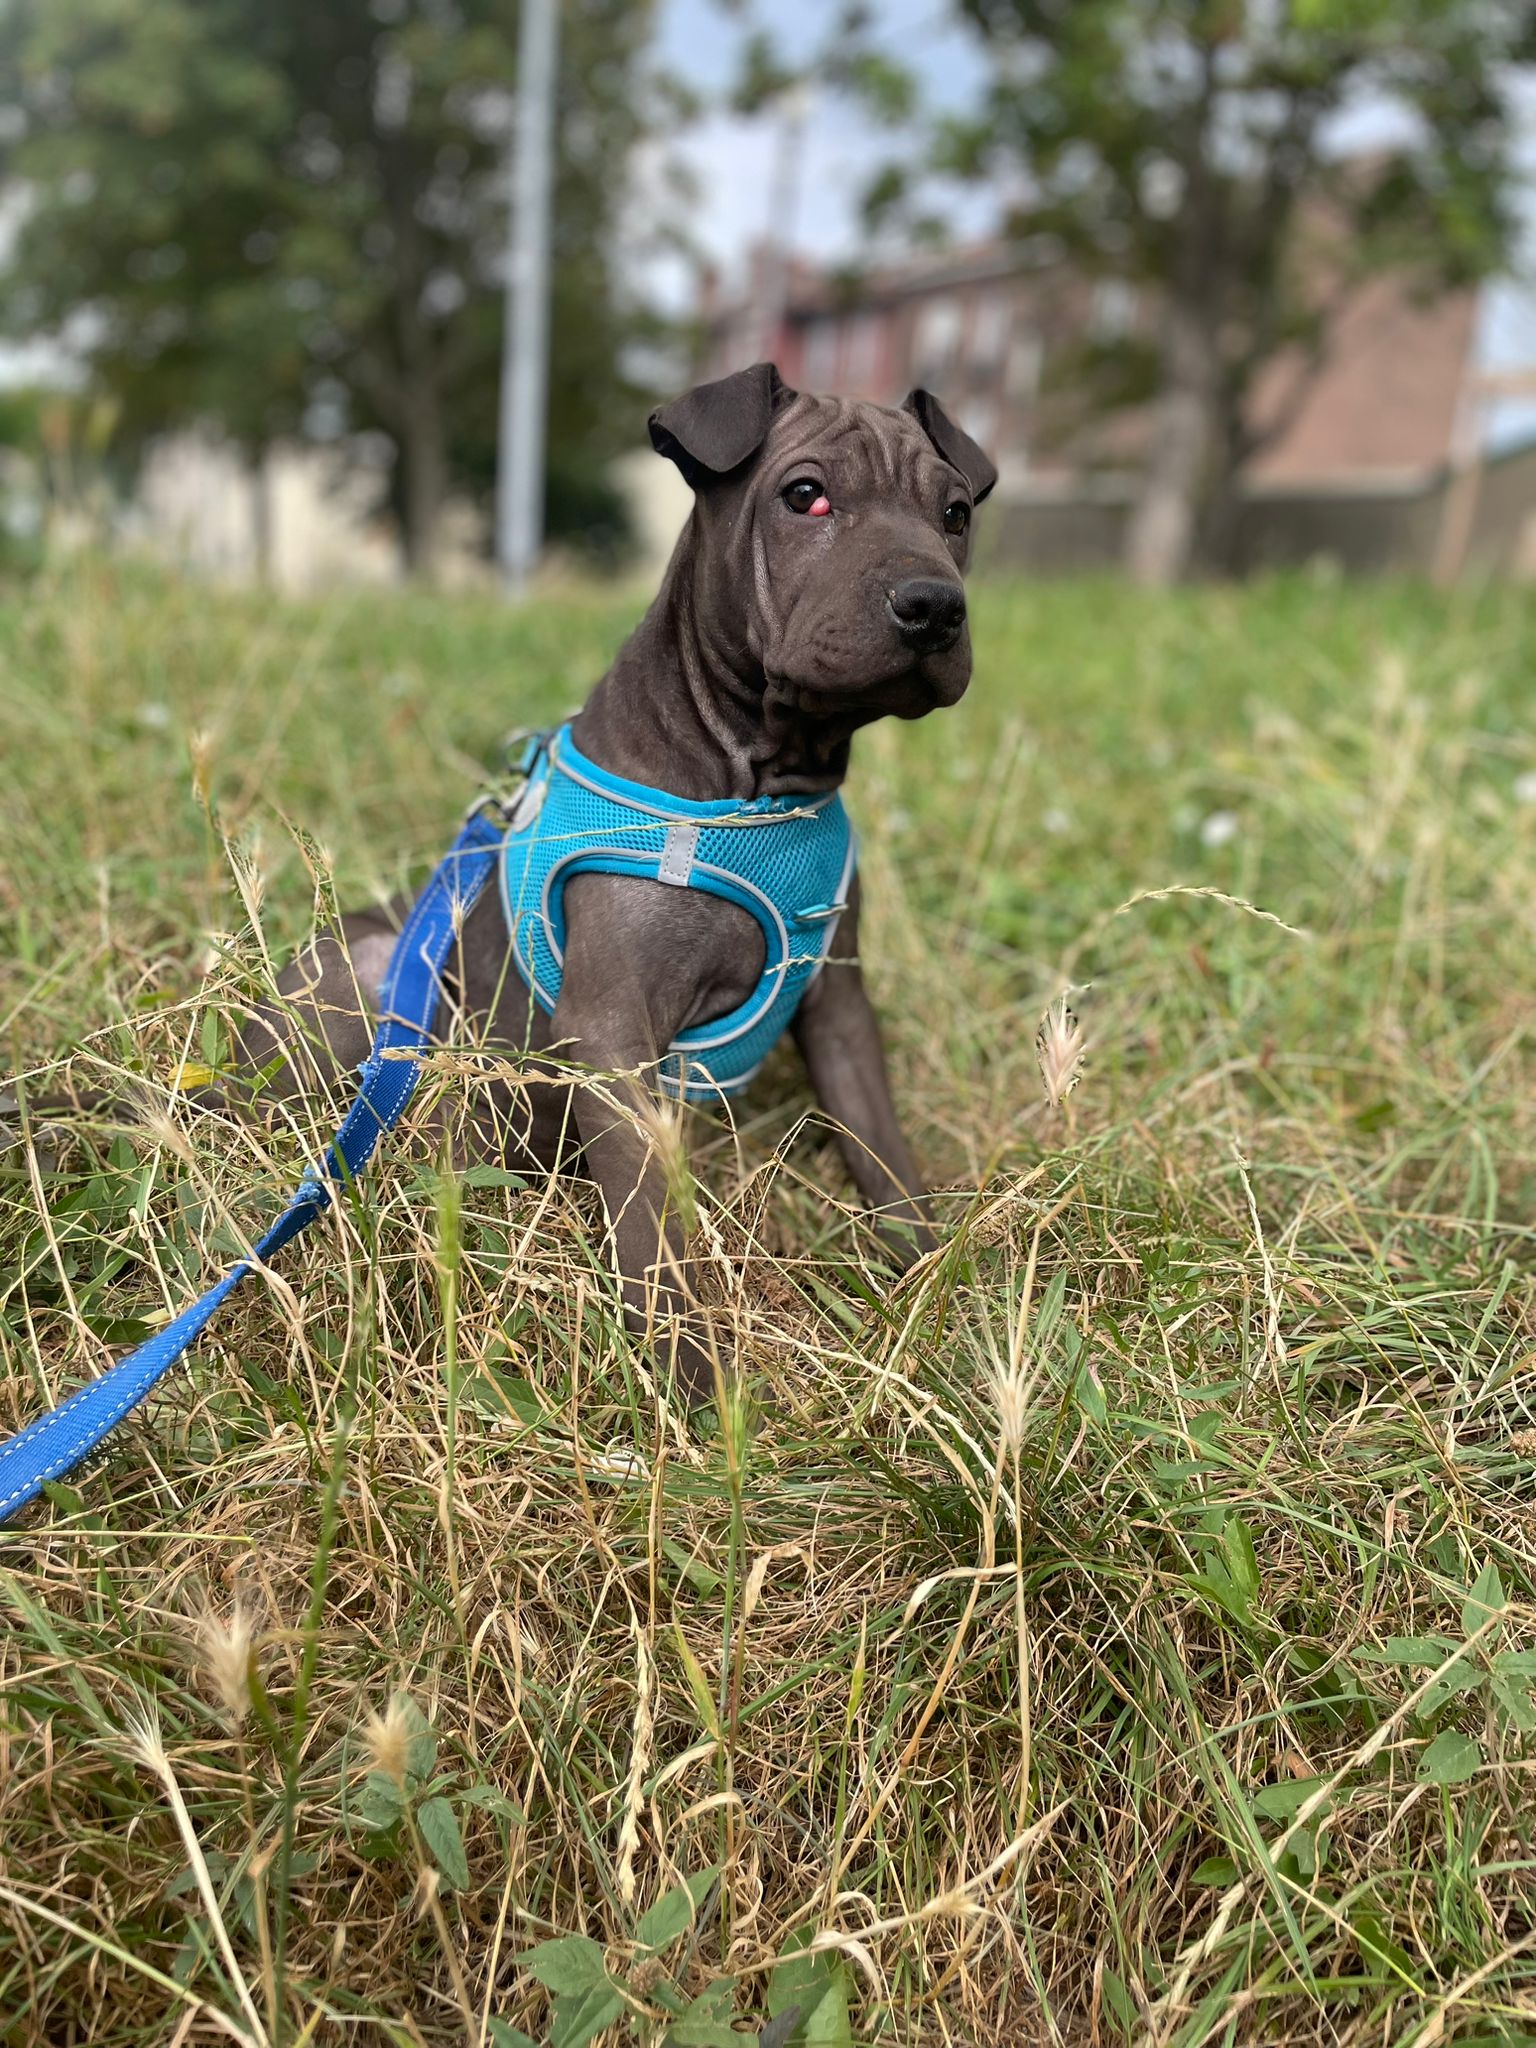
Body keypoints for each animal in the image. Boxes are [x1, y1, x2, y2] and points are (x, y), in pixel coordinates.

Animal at [237, 360, 999, 1400]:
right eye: (806, 495)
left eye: (955, 512)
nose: (933, 605)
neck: (763, 781)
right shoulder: (611, 1035)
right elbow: (651, 1228)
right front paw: (690, 1378)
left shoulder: (839, 1005)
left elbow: (881, 1149)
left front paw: (927, 1280)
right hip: (365, 964)